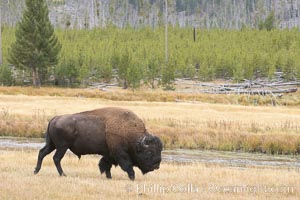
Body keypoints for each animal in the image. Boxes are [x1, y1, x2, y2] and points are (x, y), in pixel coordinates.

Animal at [34, 107, 163, 180]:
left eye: (159, 150)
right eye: (149, 151)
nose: (156, 165)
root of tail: (55, 118)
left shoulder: (108, 154)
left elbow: (106, 165)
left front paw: (108, 177)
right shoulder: (120, 154)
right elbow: (127, 165)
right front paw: (132, 177)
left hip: (52, 145)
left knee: (42, 153)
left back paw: (36, 171)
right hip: (62, 147)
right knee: (56, 158)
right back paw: (63, 174)